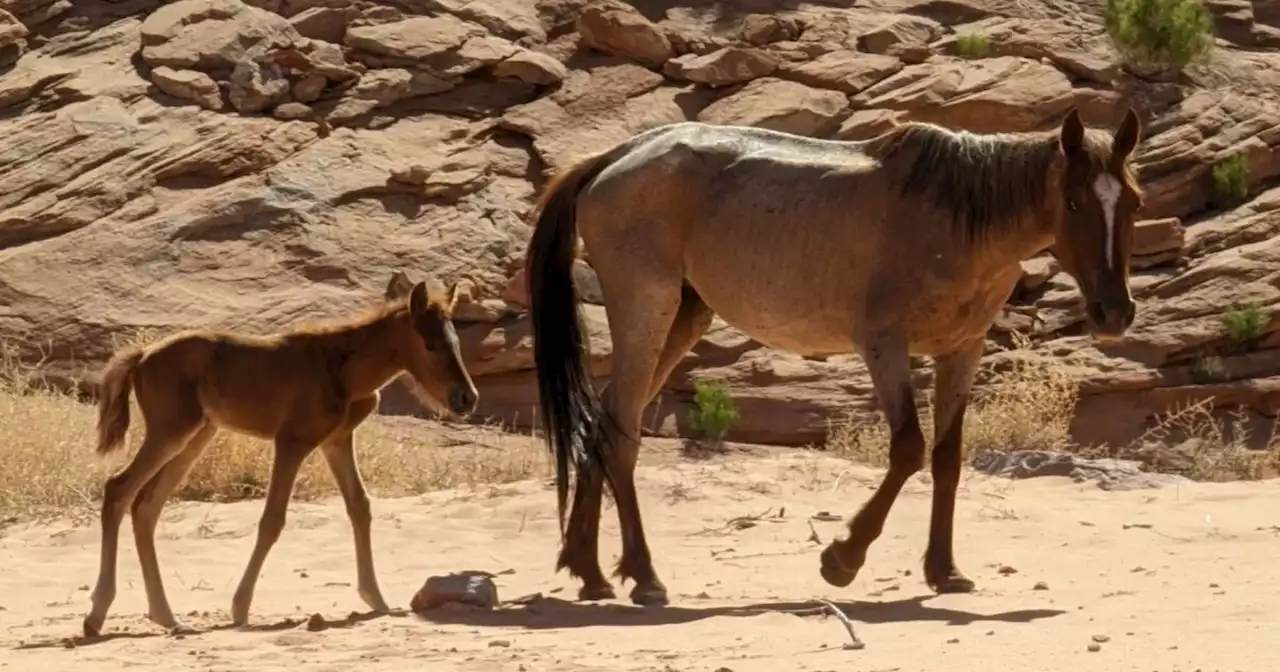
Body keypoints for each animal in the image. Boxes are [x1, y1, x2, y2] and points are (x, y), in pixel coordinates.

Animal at [524, 108, 1146, 601]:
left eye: (1134, 203)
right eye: (1072, 202)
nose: (1113, 313)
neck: (957, 220)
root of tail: (613, 157)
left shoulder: (960, 352)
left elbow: (947, 459)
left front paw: (945, 571)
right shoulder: (883, 346)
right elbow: (907, 450)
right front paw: (843, 558)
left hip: (681, 318)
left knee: (602, 421)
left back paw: (589, 572)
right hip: (646, 310)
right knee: (621, 432)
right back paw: (644, 576)